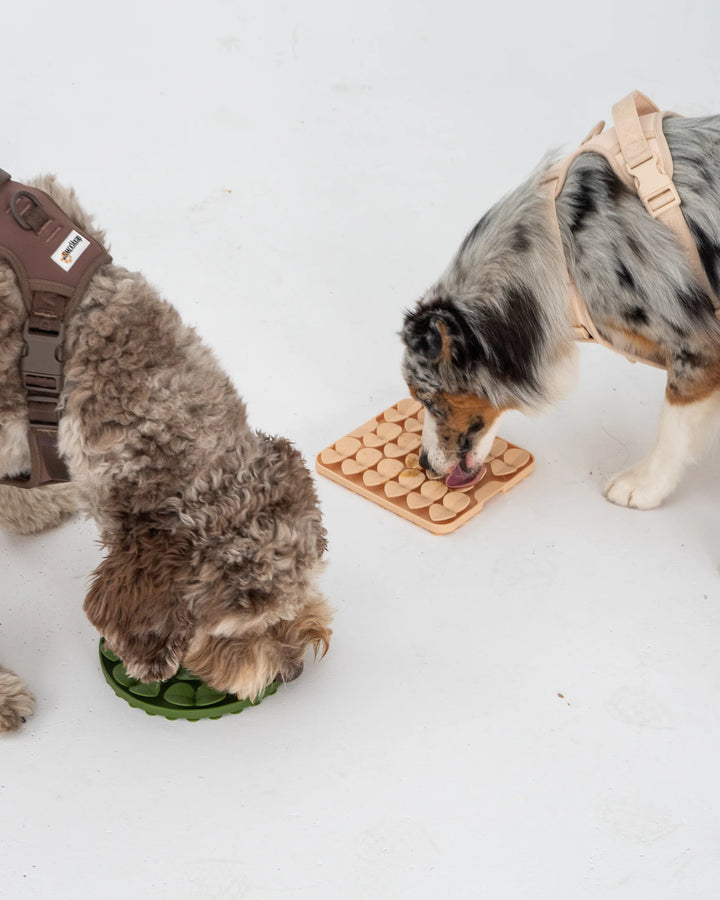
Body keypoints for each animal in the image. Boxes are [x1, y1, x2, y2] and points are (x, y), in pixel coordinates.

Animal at [402, 111, 720, 506]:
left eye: (428, 399)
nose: (424, 464)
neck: (564, 246)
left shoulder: (695, 343)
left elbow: (673, 427)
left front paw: (643, 485)